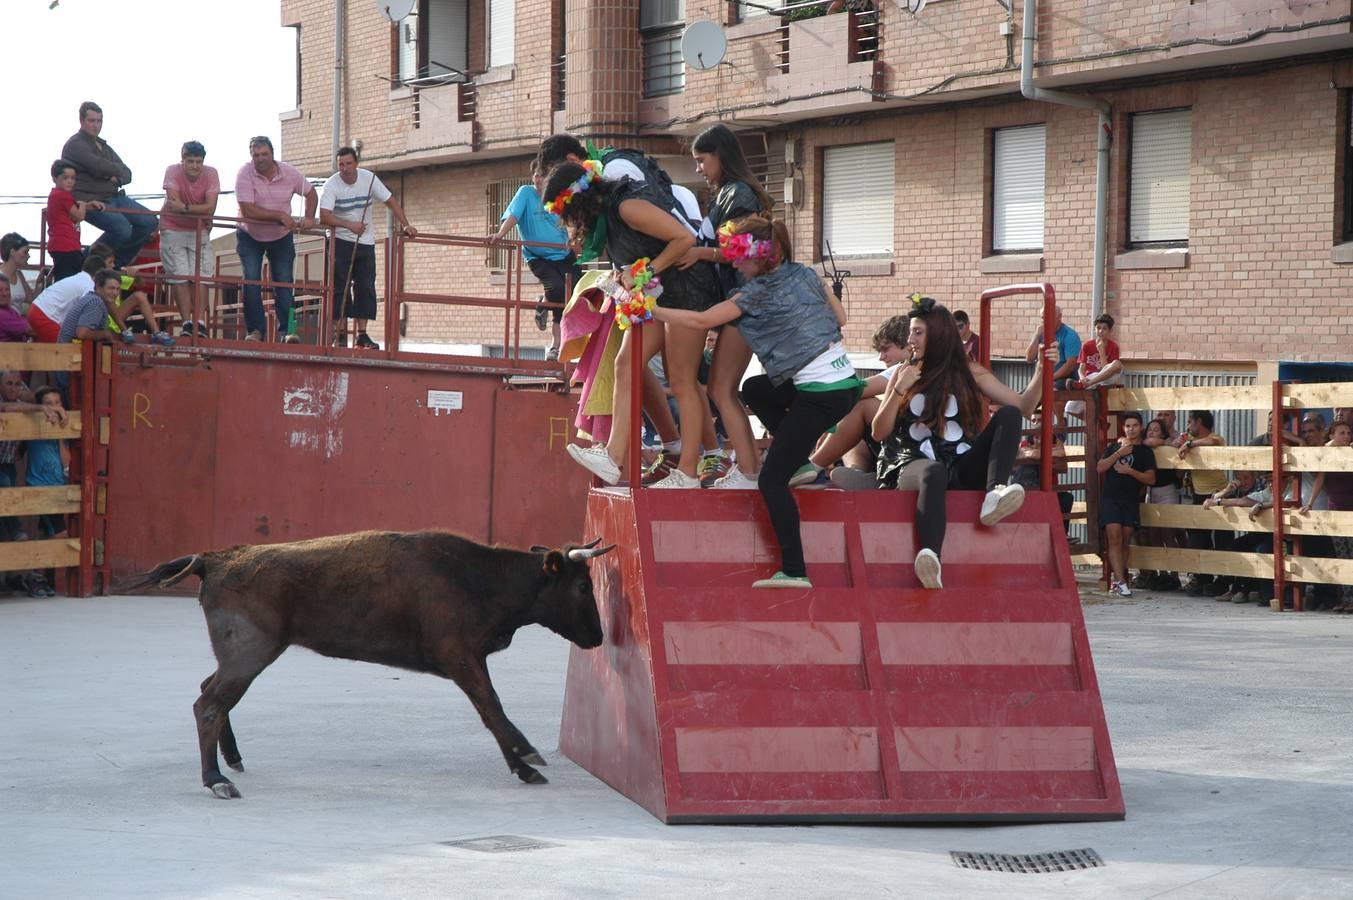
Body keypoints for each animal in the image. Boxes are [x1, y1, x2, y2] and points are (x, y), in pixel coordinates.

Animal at [127, 530, 614, 795]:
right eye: (582, 588)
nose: (598, 636)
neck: (482, 579)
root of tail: (215, 559)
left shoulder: (467, 658)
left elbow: (490, 709)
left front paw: (522, 766)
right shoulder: (459, 655)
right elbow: (491, 707)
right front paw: (527, 758)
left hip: (243, 654)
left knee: (209, 691)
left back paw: (231, 759)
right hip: (250, 651)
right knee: (208, 704)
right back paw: (214, 779)